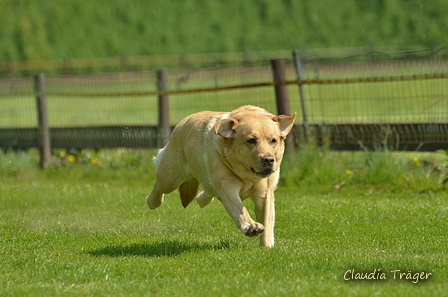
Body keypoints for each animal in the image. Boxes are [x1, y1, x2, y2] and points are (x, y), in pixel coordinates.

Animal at [145, 105, 296, 246]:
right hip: (170, 177)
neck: (248, 176)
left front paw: (267, 246)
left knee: (208, 189)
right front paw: (251, 226)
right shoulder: (227, 186)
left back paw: (202, 199)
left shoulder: (265, 193)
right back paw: (153, 201)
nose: (269, 160)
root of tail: (182, 122)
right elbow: (239, 209)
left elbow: (267, 221)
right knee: (159, 185)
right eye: (251, 140)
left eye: (273, 140)